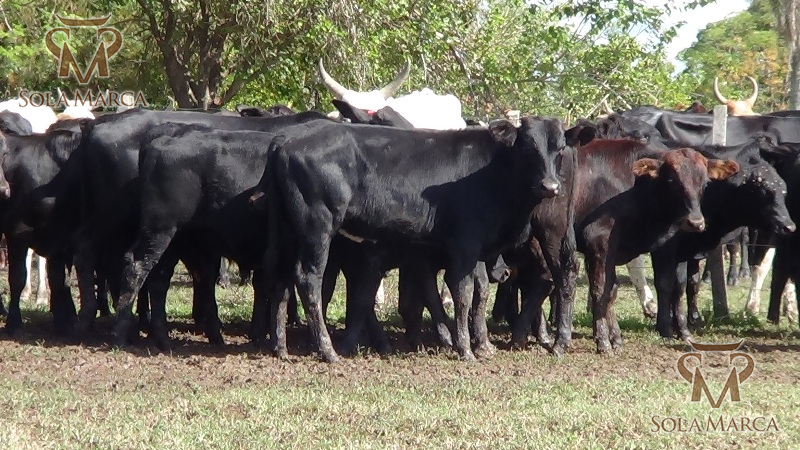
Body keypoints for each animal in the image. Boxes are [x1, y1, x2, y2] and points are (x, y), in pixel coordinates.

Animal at [256, 117, 565, 362]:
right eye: (528, 147)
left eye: (560, 149)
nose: (550, 186)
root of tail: (288, 138)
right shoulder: (465, 245)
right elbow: (463, 293)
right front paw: (465, 349)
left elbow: (477, 292)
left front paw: (481, 345)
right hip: (317, 227)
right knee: (309, 279)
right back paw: (328, 351)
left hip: (288, 232)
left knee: (282, 279)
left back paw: (281, 348)